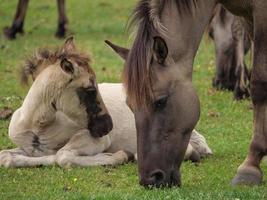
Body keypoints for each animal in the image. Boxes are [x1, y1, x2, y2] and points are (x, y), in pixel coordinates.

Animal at [0, 37, 214, 167]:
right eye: (91, 90)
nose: (108, 126)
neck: (38, 126)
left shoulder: (97, 139)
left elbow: (62, 156)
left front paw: (121, 155)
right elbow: (5, 156)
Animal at [108, 0, 267, 188]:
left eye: (161, 101)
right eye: (130, 106)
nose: (150, 179)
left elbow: (259, 85)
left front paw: (249, 168)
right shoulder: (246, 16)